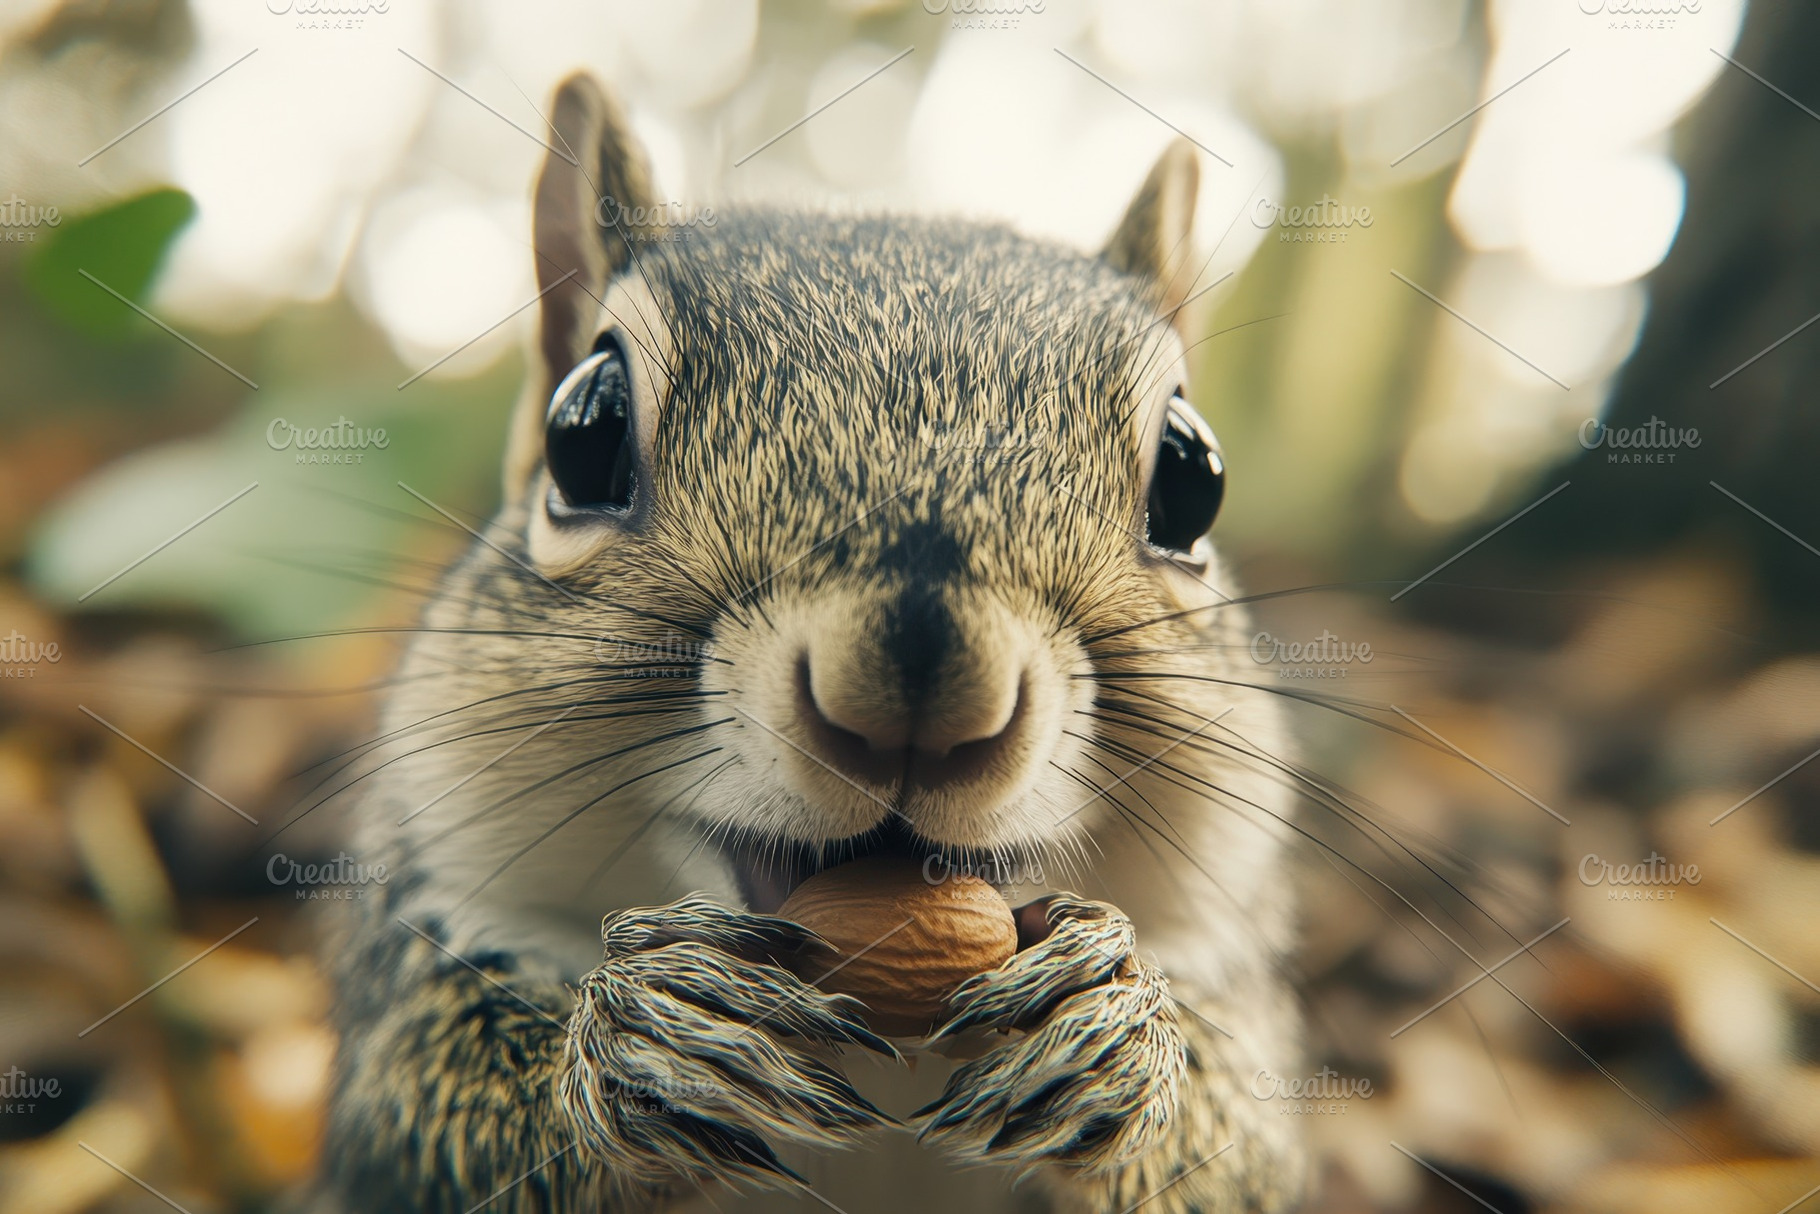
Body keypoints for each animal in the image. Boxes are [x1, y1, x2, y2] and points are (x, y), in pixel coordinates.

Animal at [314, 72, 1306, 1214]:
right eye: (581, 436)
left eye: (1194, 477)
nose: (923, 693)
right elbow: (428, 1098)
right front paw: (644, 1041)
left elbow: (1246, 1146)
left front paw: (1120, 1037)